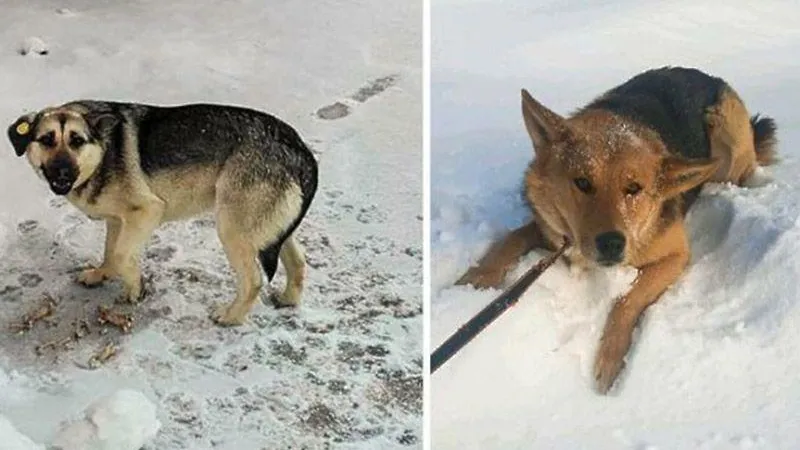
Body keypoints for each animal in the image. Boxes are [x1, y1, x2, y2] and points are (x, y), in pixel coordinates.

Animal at [7, 101, 318, 326]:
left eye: (76, 141)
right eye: (46, 140)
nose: (62, 171)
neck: (103, 152)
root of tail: (300, 148)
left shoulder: (147, 211)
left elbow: (122, 255)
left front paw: (135, 290)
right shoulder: (117, 220)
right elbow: (110, 253)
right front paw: (102, 274)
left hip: (233, 229)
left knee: (253, 280)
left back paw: (231, 316)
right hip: (267, 230)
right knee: (298, 260)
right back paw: (289, 299)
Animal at [456, 65, 776, 392]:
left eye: (634, 188)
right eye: (582, 182)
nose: (611, 243)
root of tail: (704, 74)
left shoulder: (675, 255)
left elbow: (626, 300)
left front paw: (611, 359)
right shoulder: (552, 231)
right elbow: (512, 238)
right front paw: (476, 279)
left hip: (727, 130)